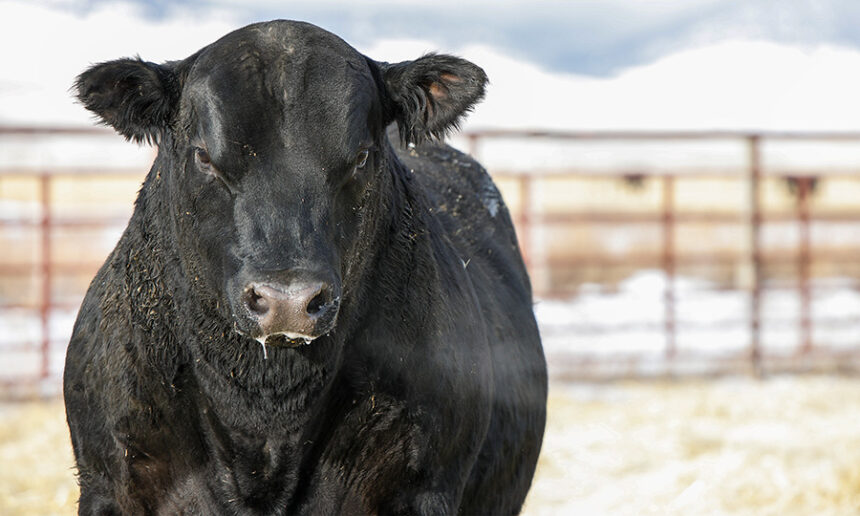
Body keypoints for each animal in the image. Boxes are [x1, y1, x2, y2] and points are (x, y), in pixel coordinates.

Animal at [64, 19, 547, 515]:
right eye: (203, 156)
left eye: (361, 156)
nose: (288, 301)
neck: (265, 414)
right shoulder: (111, 484)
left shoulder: (422, 485)